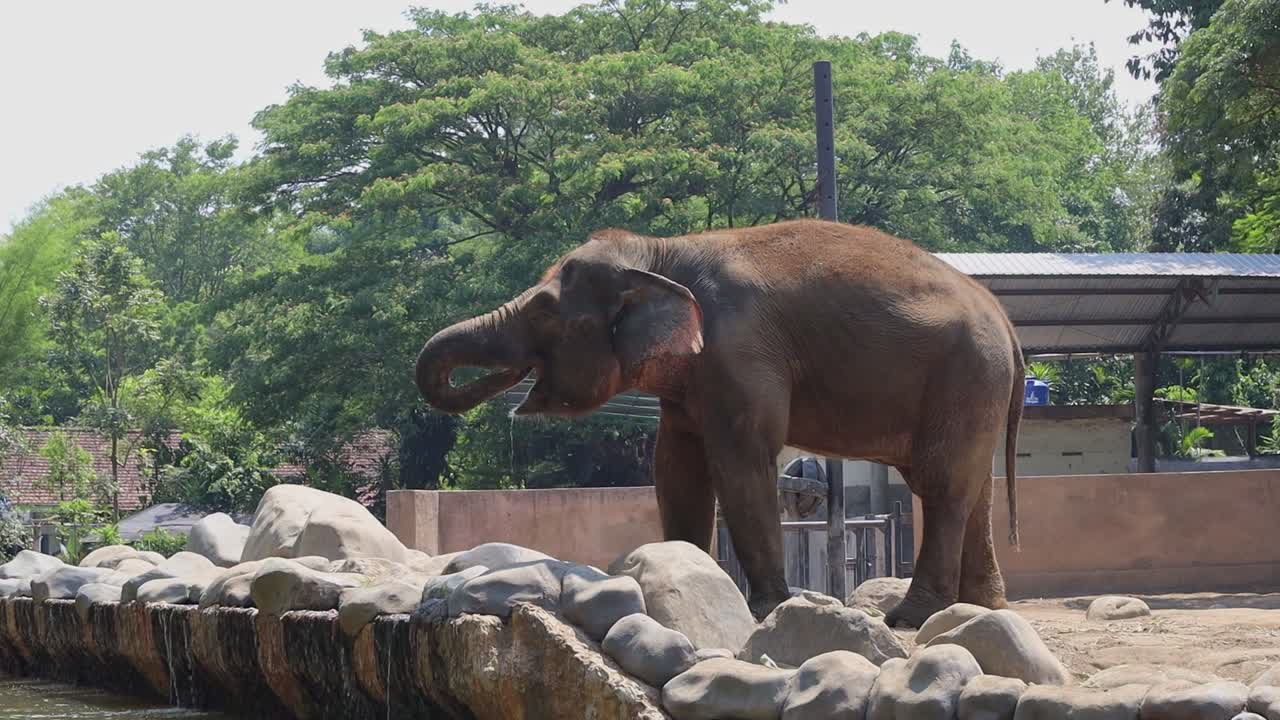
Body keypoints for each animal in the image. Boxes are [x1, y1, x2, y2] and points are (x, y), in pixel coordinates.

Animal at [414, 218, 1023, 627]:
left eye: (544, 311)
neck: (663, 252)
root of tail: (1006, 322)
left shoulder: (740, 352)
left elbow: (740, 464)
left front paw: (768, 609)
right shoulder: (692, 376)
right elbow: (676, 467)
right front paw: (681, 574)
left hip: (965, 375)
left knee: (942, 486)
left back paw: (910, 618)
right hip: (976, 387)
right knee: (973, 488)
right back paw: (982, 607)